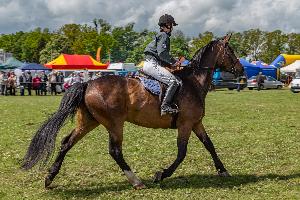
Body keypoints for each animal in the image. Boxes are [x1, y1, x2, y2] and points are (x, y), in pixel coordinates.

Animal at [22, 34, 244, 189]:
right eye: (231, 51)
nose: (242, 70)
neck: (193, 83)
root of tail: (88, 83)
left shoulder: (196, 123)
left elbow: (210, 145)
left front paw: (223, 170)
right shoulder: (185, 124)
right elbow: (182, 153)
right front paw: (161, 174)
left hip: (88, 121)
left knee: (66, 142)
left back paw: (49, 178)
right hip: (114, 123)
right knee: (115, 151)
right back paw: (136, 181)